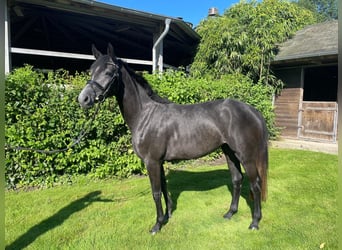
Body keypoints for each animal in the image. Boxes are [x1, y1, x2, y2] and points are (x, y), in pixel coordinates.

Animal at [77, 44, 268, 233]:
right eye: (91, 71)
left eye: (109, 72)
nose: (83, 99)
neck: (145, 115)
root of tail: (252, 110)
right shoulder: (158, 162)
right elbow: (163, 188)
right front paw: (167, 215)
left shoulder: (151, 162)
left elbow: (155, 192)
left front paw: (157, 225)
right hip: (229, 152)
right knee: (237, 180)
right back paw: (230, 213)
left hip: (246, 156)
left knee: (255, 184)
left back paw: (255, 222)